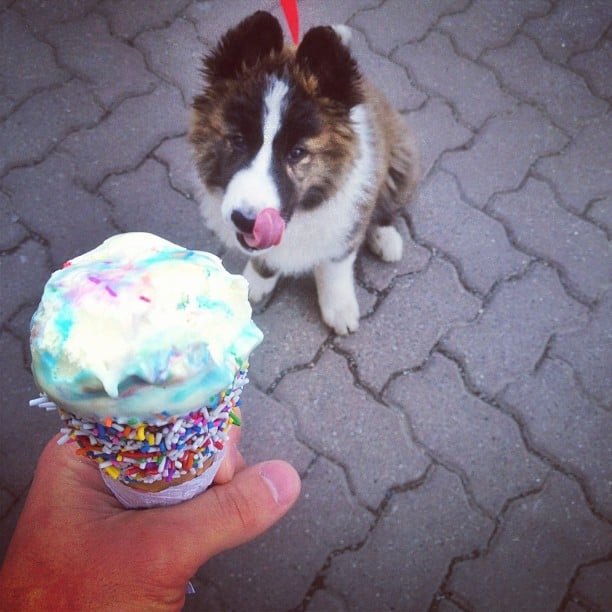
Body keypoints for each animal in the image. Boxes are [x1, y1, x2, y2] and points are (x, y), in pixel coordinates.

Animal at [191, 9, 418, 334]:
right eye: (238, 140)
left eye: (297, 153)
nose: (246, 221)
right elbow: (265, 256)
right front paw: (256, 281)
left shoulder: (343, 233)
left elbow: (335, 268)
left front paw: (339, 309)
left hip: (400, 163)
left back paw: (385, 238)